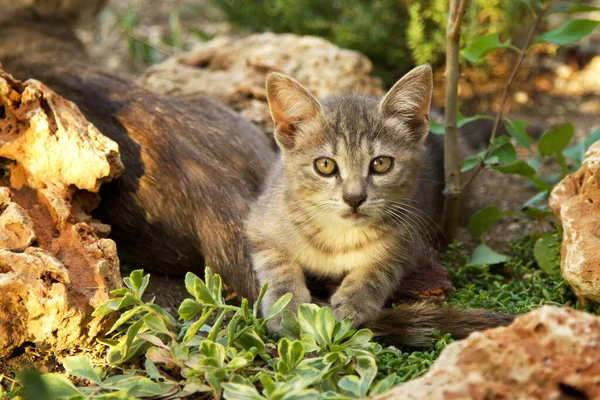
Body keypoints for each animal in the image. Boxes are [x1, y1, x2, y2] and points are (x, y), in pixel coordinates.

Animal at [246, 65, 512, 344]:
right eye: (325, 165)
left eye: (381, 163)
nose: (354, 198)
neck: (340, 236)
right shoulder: (260, 224)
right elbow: (277, 265)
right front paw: (286, 307)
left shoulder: (410, 237)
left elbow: (380, 266)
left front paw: (355, 300)